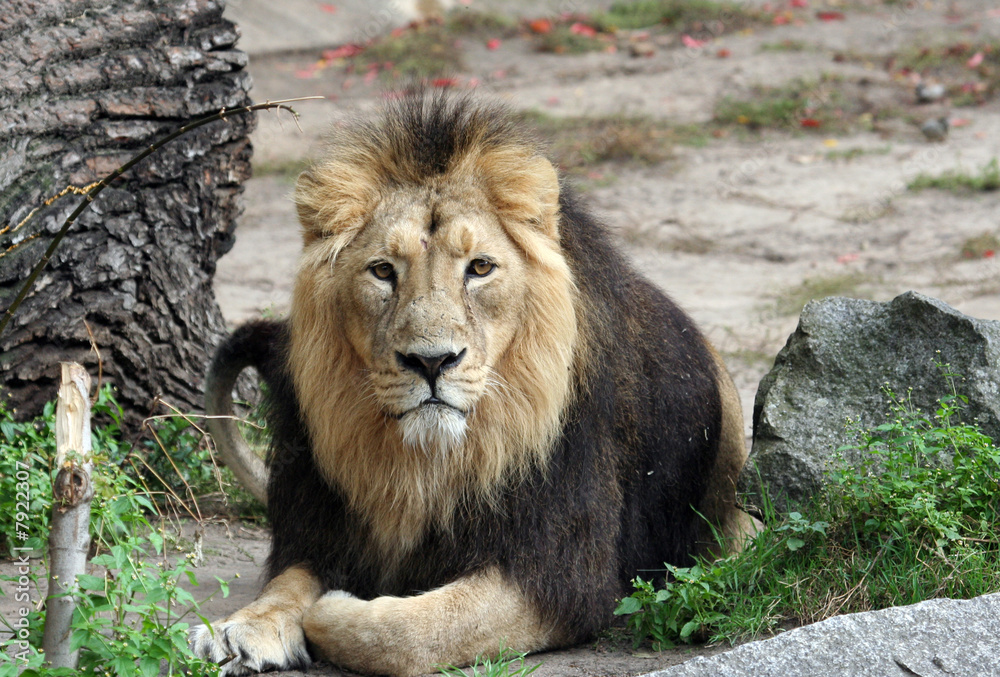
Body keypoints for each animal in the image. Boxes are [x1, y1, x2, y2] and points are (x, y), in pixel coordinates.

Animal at [190, 93, 760, 677]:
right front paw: (243, 627)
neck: (428, 467)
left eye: (480, 268)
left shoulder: (562, 577)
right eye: (382, 271)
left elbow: (407, 632)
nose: (431, 361)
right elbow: (288, 582)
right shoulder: (322, 527)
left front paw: (334, 608)